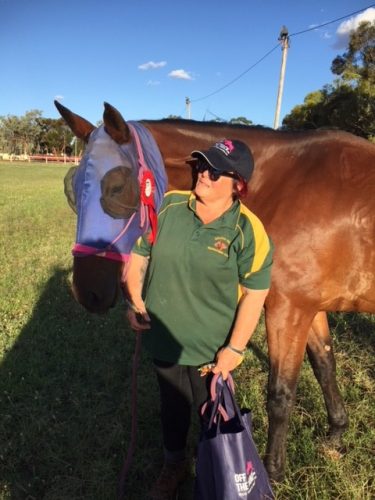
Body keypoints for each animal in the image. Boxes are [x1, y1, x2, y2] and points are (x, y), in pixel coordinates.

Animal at [55, 100, 375, 480]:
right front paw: (336, 433)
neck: (287, 183)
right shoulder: (309, 308)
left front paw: (273, 473)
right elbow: (325, 366)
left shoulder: (288, 310)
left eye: (117, 187)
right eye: (73, 189)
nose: (87, 293)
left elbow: (280, 393)